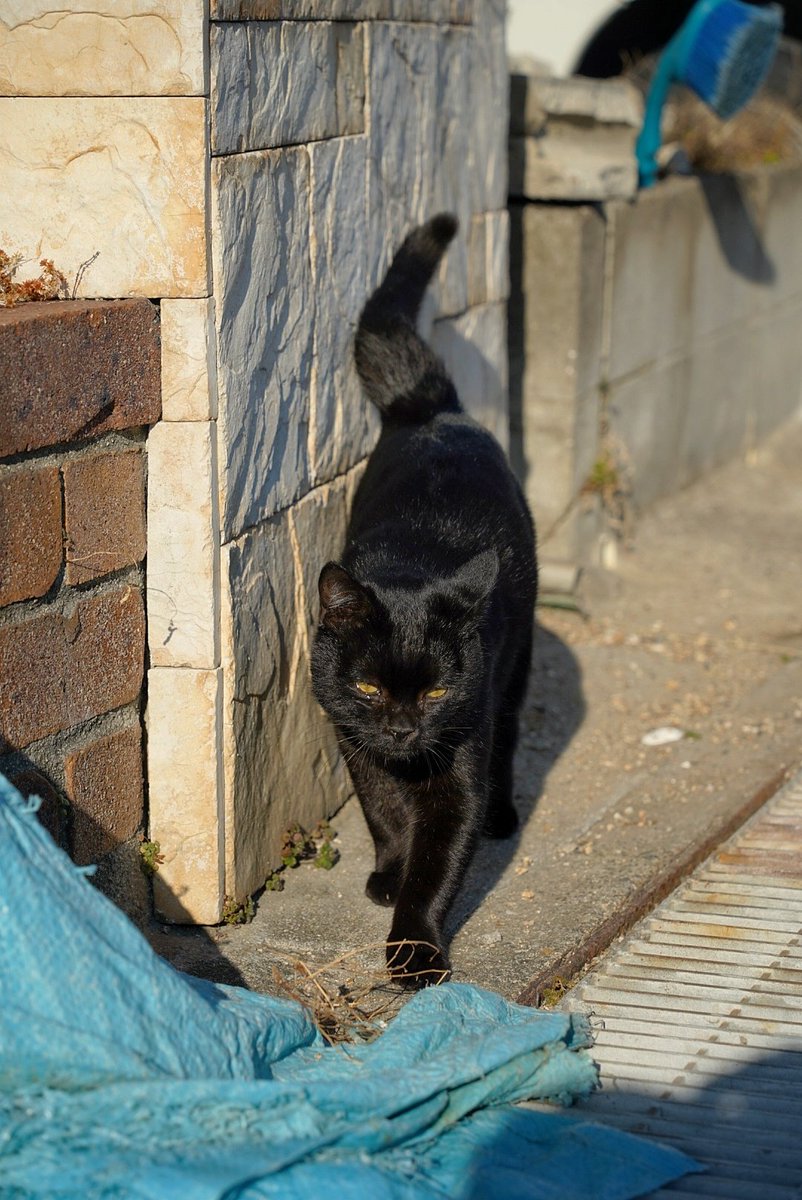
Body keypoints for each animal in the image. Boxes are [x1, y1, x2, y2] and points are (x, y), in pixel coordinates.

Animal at [309, 213, 535, 984]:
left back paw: (504, 815)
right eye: (371, 688)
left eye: (435, 694)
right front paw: (387, 873)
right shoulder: (355, 741)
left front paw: (415, 953)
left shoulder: (458, 763)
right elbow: (383, 815)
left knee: (509, 735)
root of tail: (431, 407)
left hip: (513, 669)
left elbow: (439, 864)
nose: (406, 730)